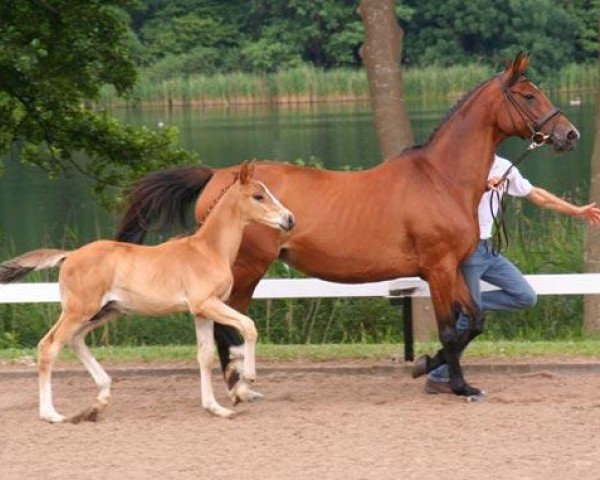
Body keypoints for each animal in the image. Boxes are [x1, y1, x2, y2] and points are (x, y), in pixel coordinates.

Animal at [0, 162, 296, 424]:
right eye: (258, 195)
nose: (290, 219)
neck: (208, 250)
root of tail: (69, 255)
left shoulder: (201, 312)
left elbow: (205, 356)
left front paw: (215, 408)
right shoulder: (206, 304)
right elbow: (249, 326)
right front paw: (250, 377)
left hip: (105, 312)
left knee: (75, 340)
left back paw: (100, 400)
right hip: (79, 310)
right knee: (49, 346)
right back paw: (51, 414)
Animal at [115, 52, 580, 402]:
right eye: (528, 95)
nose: (570, 134)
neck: (440, 178)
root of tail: (217, 176)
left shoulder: (450, 269)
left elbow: (476, 321)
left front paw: (423, 366)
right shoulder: (439, 268)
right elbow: (451, 330)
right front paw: (459, 386)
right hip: (247, 270)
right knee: (229, 327)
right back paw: (239, 388)